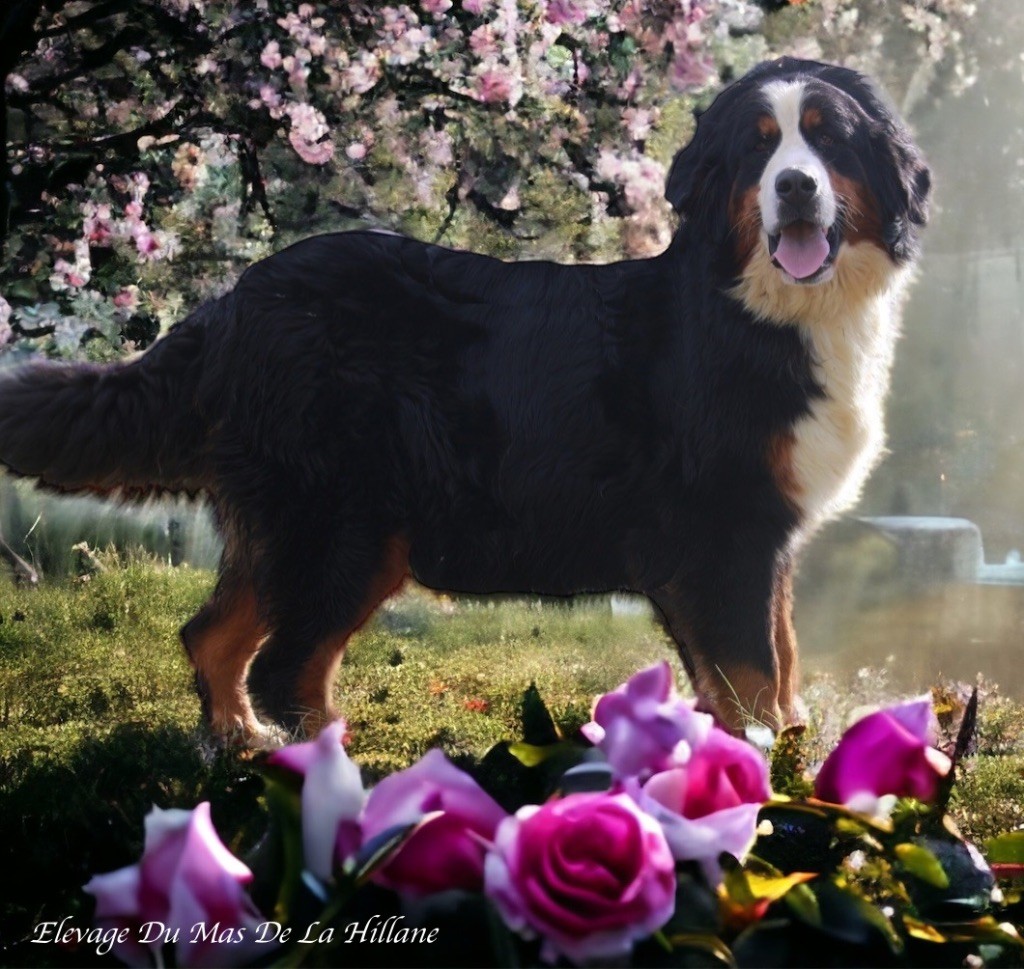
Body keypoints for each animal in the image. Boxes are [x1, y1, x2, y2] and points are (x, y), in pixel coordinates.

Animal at [0, 58, 929, 741]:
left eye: (829, 140)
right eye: (759, 151)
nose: (796, 187)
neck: (760, 309)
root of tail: (237, 300)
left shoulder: (765, 535)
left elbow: (781, 659)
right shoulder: (721, 530)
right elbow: (750, 677)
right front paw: (764, 787)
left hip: (300, 525)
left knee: (216, 635)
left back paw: (237, 744)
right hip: (342, 524)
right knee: (286, 667)